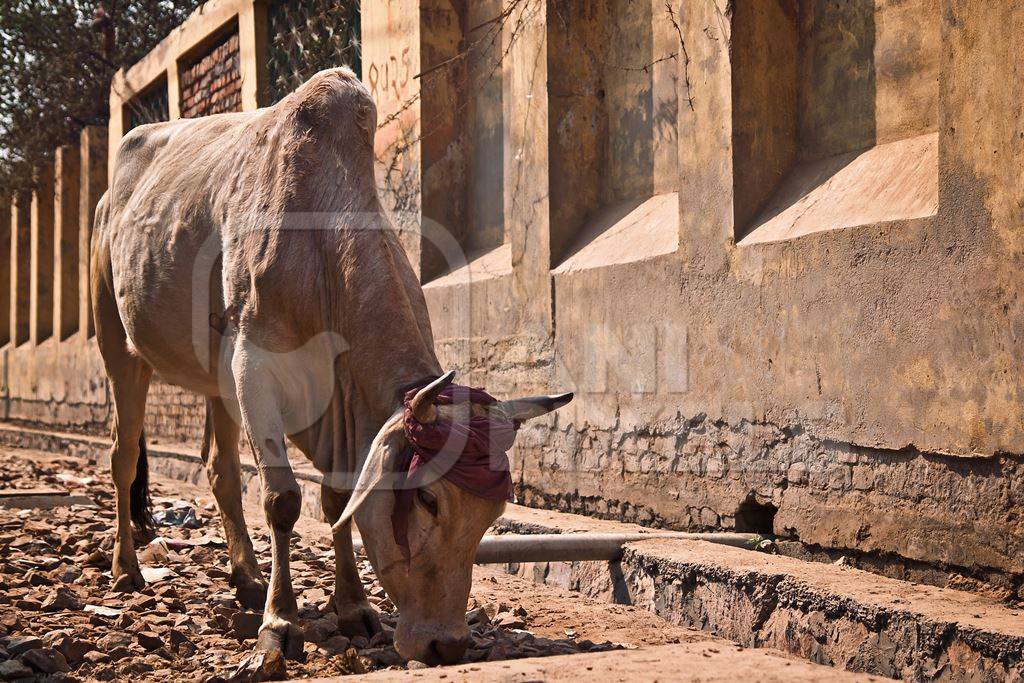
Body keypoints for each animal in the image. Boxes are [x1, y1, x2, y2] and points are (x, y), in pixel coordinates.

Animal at [92, 66, 573, 663]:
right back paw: (126, 568)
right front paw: (280, 621)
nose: (447, 645)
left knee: (221, 470)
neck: (319, 253)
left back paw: (245, 578)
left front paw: (353, 607)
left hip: (215, 380)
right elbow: (282, 499)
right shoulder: (254, 368)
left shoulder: (332, 407)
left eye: (491, 516)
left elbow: (339, 497)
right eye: (428, 499)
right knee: (121, 457)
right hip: (120, 347)